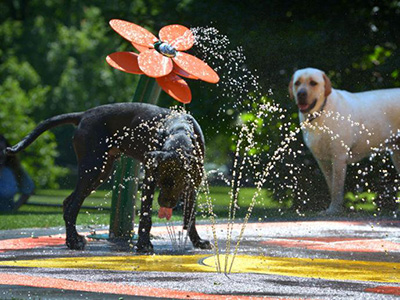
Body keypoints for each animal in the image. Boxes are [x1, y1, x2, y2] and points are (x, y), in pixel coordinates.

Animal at [6, 102, 211, 252]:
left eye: (178, 183)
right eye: (162, 182)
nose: (165, 204)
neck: (180, 133)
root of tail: (84, 115)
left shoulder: (193, 184)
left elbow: (190, 215)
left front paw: (197, 241)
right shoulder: (150, 179)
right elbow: (146, 216)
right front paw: (144, 245)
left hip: (101, 172)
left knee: (67, 202)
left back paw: (73, 238)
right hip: (93, 169)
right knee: (72, 206)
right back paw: (74, 242)